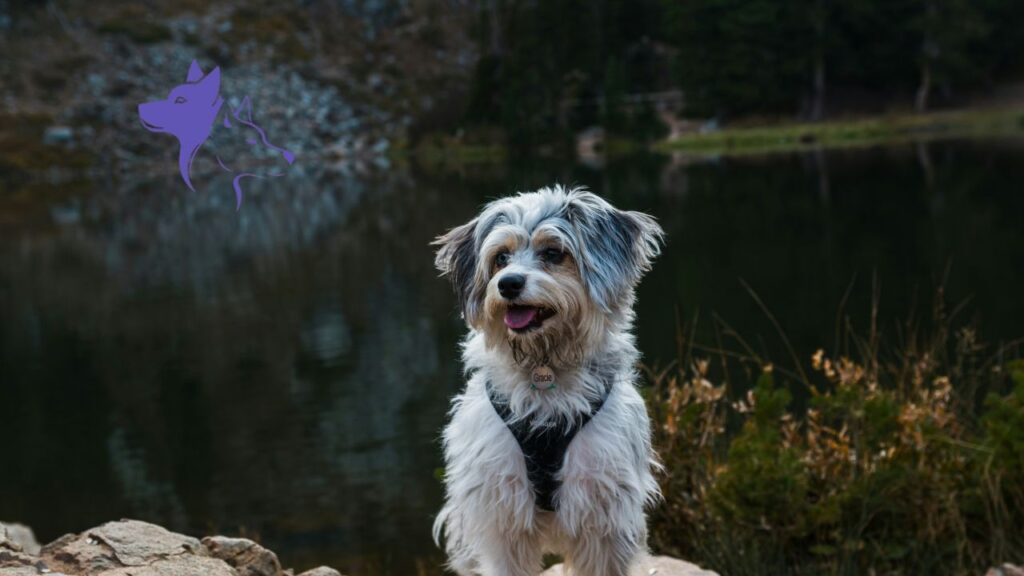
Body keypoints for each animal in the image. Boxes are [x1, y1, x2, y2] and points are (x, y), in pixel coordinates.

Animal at [430, 186, 663, 569]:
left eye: (553, 253)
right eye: (501, 258)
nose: (508, 284)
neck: (544, 368)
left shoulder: (604, 514)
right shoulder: (501, 514)